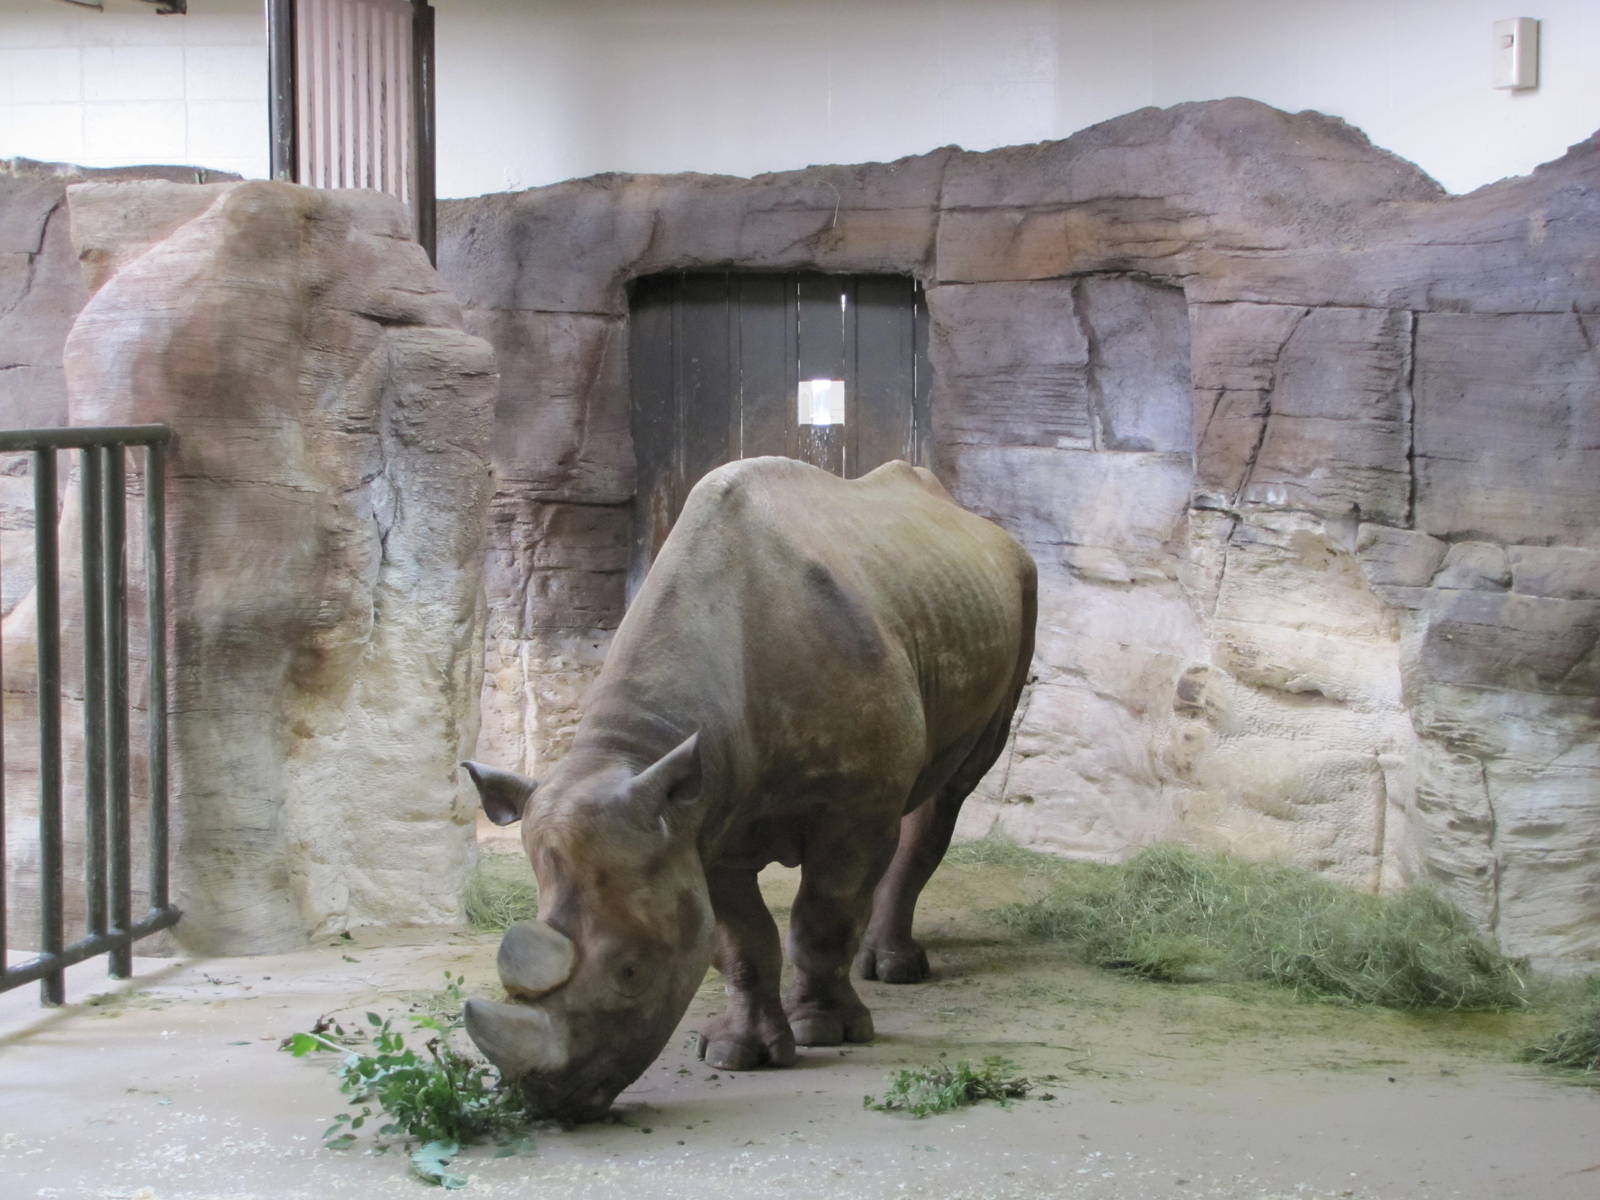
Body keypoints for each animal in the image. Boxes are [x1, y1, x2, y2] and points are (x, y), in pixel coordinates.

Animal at [461, 456, 1036, 1121]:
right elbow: (739, 940)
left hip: (1020, 587)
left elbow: (821, 916)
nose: (551, 1103)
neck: (633, 753)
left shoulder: (848, 807)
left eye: (631, 972)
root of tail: (969, 515)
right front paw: (738, 1053)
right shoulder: (695, 818)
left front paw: (826, 1030)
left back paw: (893, 968)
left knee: (953, 787)